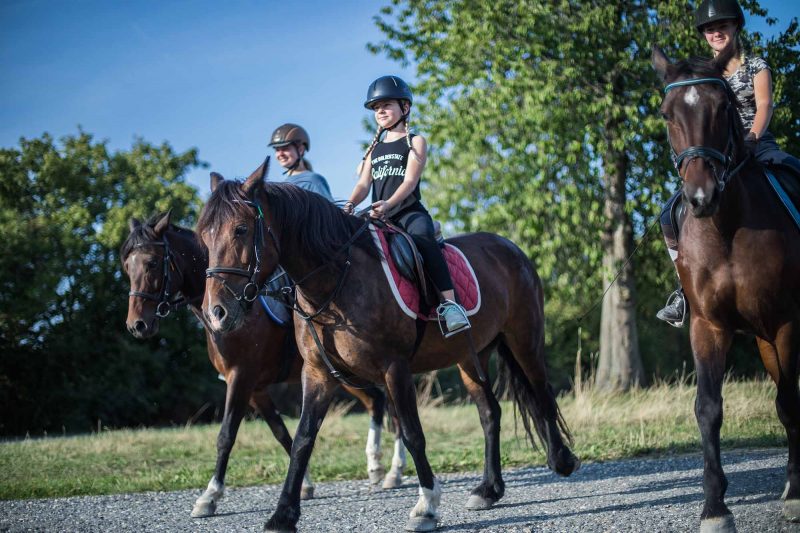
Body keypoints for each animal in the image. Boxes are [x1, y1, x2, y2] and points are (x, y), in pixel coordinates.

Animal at [122, 211, 406, 516]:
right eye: (127, 266)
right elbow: (282, 433)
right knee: (377, 402)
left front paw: (210, 495)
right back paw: (377, 466)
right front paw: (304, 484)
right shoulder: (256, 390)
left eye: (151, 263)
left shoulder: (241, 379)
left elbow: (226, 435)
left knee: (393, 411)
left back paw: (394, 470)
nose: (136, 325)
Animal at [196, 164, 580, 528]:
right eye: (204, 236)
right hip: (471, 358)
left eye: (241, 229)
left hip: (524, 339)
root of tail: (510, 249)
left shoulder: (394, 368)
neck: (336, 281)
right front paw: (283, 514)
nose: (216, 312)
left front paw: (426, 506)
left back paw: (562, 460)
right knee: (490, 413)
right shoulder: (317, 374)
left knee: (542, 393)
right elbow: (302, 439)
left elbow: (412, 432)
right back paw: (489, 489)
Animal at [656, 46, 800, 532]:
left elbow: (788, 401)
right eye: (667, 114)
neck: (727, 228)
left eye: (722, 108)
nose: (700, 197)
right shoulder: (708, 325)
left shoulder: (785, 322)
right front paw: (715, 508)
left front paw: (795, 492)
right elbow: (708, 408)